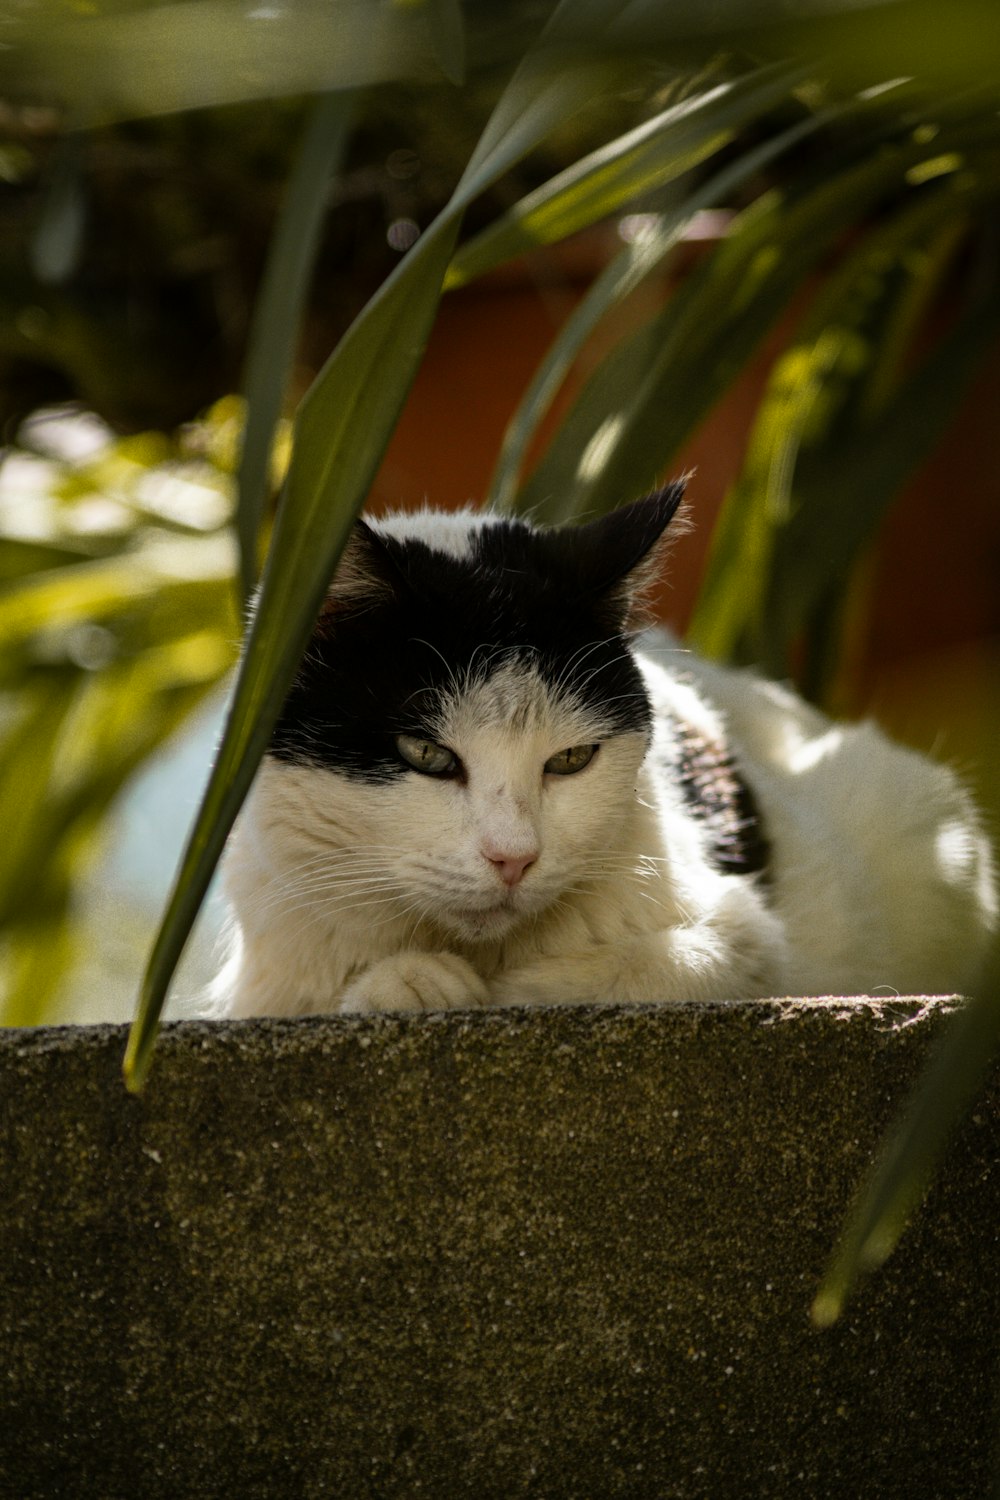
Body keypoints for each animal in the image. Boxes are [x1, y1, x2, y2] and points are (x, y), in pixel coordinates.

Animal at [206, 483, 995, 1020]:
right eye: (427, 756)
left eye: (569, 761)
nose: (514, 860)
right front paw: (408, 982)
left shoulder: (743, 942)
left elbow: (636, 968)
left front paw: (499, 988)